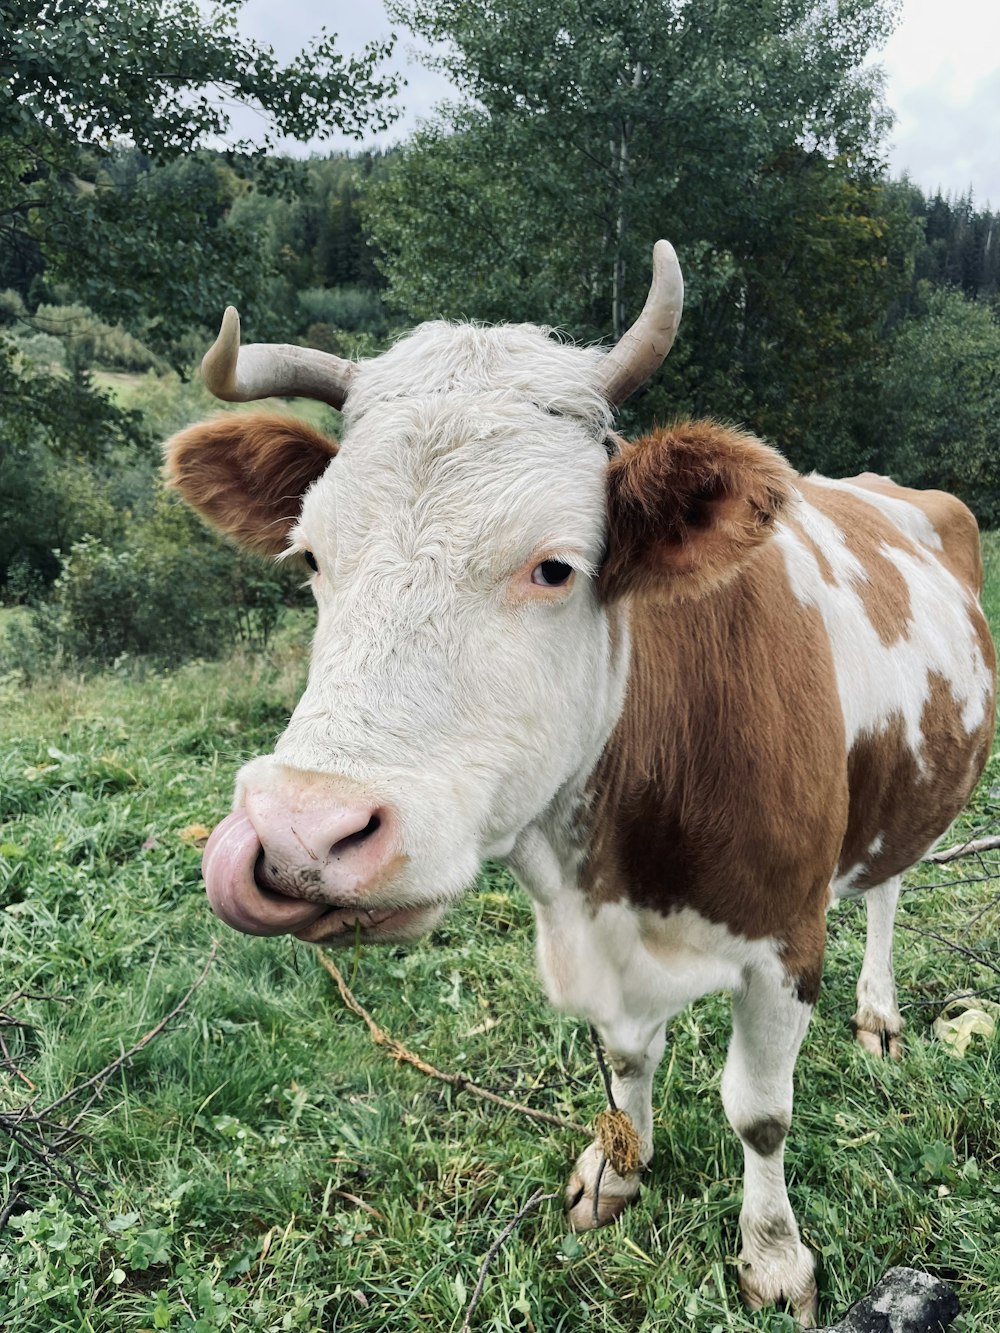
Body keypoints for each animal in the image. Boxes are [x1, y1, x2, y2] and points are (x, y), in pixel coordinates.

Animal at [168, 245, 997, 1327]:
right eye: (310, 555)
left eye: (556, 566)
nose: (302, 832)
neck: (615, 861)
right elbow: (628, 1059)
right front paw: (618, 1171)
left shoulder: (784, 936)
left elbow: (760, 1111)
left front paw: (774, 1258)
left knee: (891, 887)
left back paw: (879, 1016)